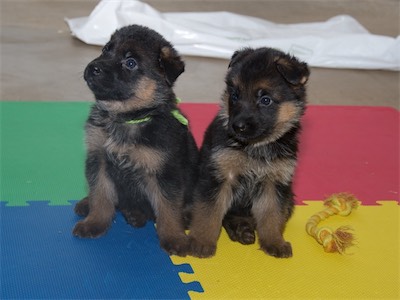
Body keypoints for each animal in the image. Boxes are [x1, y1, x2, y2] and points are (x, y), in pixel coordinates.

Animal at [73, 24, 198, 256]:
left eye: (130, 63)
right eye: (105, 49)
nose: (93, 67)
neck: (127, 118)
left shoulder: (165, 172)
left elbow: (168, 209)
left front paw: (174, 237)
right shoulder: (99, 159)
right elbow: (100, 195)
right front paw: (94, 222)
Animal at [188, 47, 310, 258]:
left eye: (265, 100)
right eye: (235, 95)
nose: (237, 127)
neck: (256, 147)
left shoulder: (274, 183)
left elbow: (272, 215)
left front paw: (274, 242)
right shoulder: (219, 177)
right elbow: (208, 213)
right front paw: (202, 242)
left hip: (289, 199)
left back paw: (244, 228)